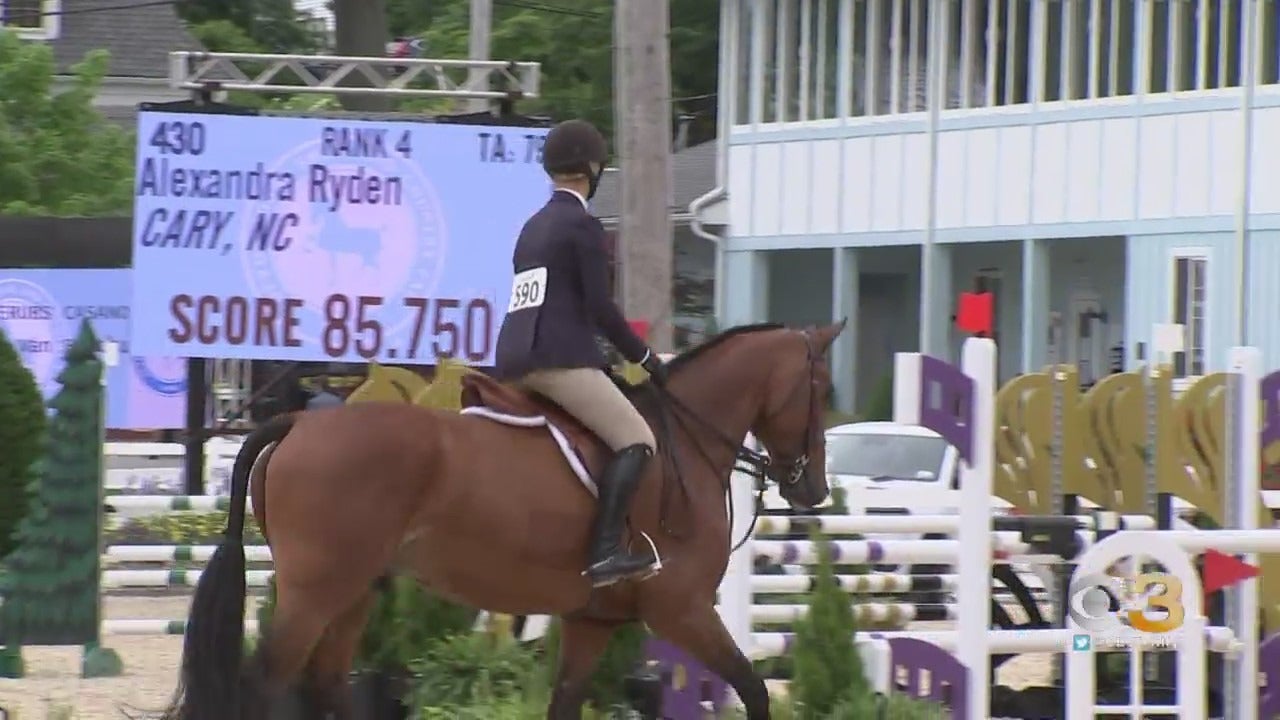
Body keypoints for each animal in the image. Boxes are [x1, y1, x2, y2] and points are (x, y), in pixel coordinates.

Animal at [170, 320, 844, 717]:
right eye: (821, 389)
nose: (812, 489)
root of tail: (300, 420)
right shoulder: (682, 610)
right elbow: (753, 689)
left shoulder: (592, 621)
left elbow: (565, 704)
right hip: (317, 589)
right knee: (265, 686)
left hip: (355, 588)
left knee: (326, 685)